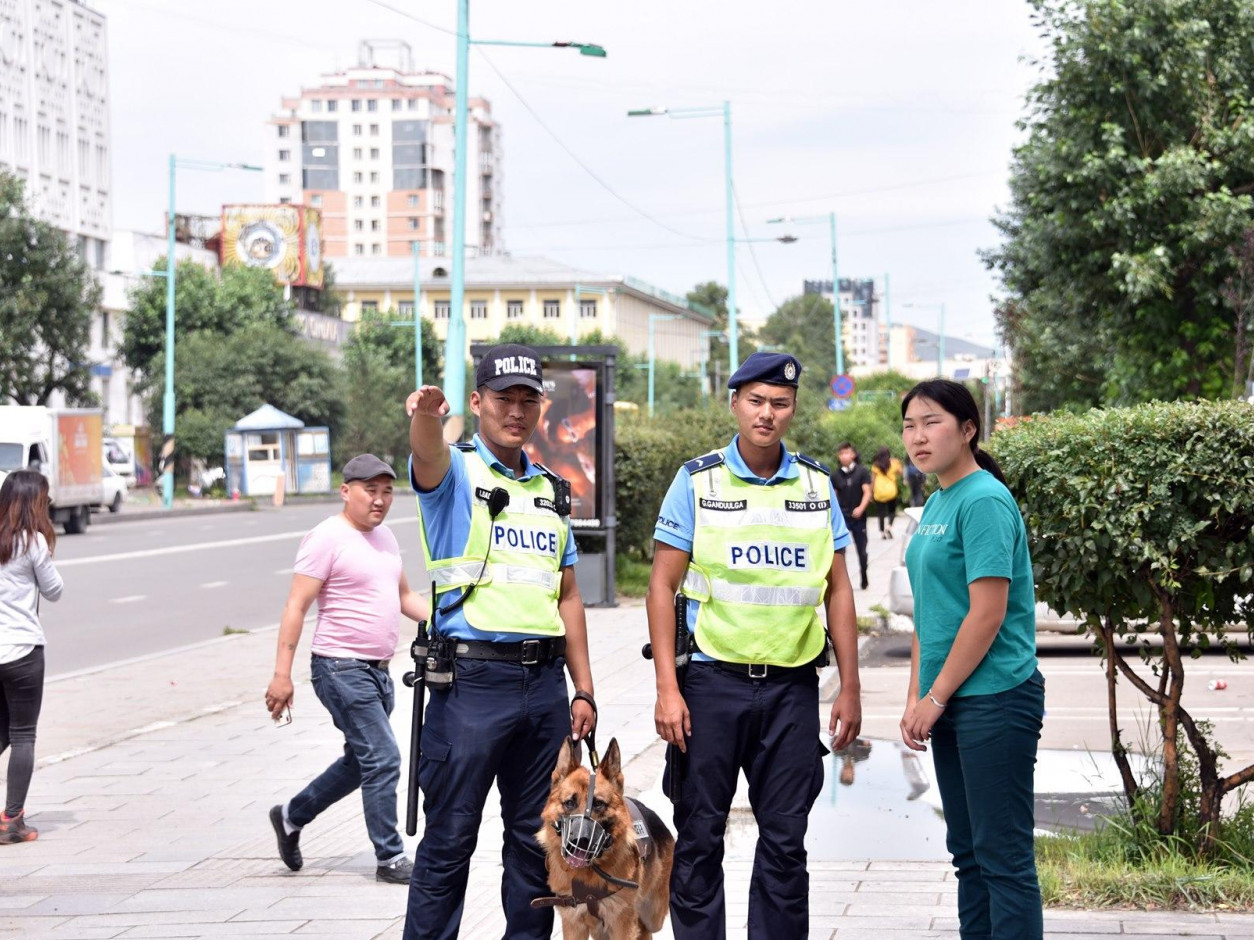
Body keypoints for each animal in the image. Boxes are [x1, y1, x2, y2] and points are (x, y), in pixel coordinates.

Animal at [539, 741, 677, 937]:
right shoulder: (573, 925)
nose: (581, 840)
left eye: (598, 804)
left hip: (652, 916)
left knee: (645, 928)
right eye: (569, 803)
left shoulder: (622, 924)